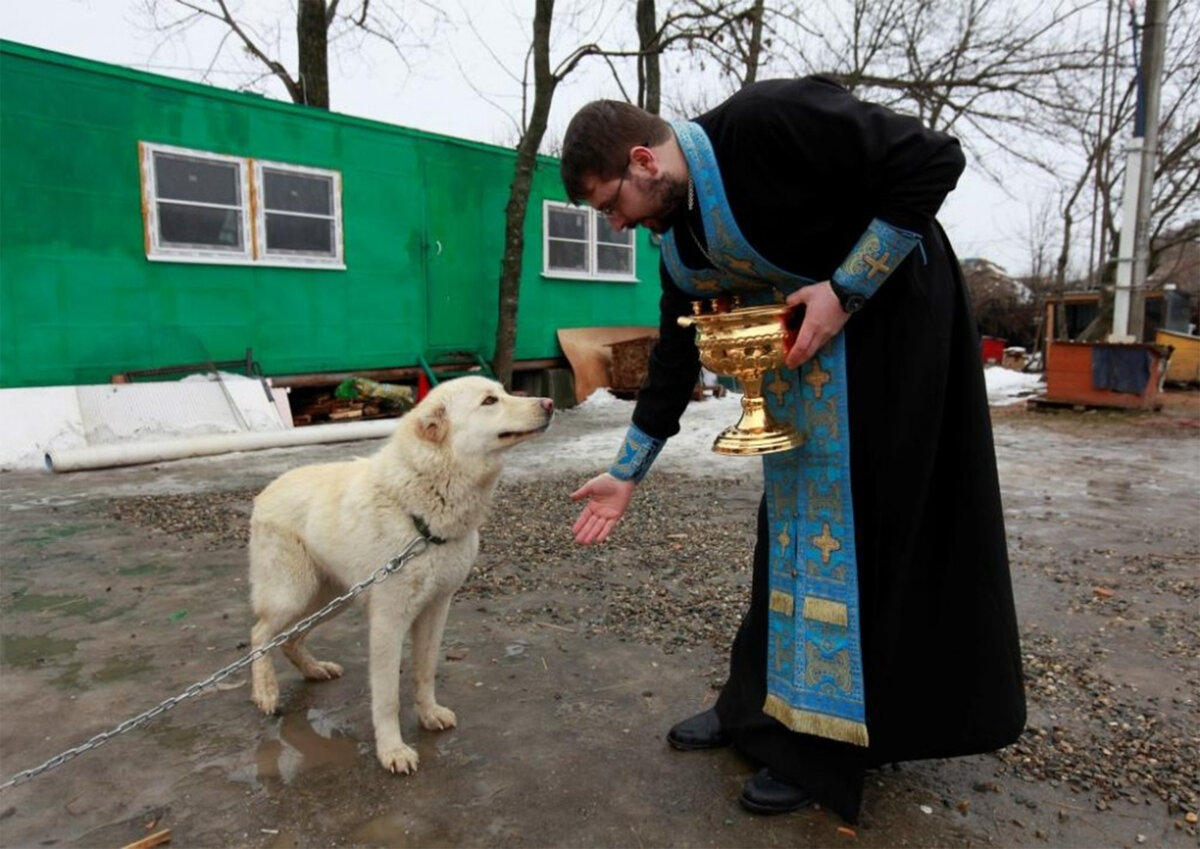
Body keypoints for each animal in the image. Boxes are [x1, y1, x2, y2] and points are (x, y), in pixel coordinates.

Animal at [249, 374, 556, 772]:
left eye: (504, 392)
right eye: (490, 401)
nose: (550, 403)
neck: (423, 510)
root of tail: (264, 493)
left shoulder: (436, 608)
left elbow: (423, 672)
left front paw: (428, 715)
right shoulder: (388, 621)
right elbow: (387, 698)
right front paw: (392, 751)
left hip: (330, 600)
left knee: (289, 638)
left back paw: (314, 670)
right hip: (292, 595)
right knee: (260, 635)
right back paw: (266, 693)